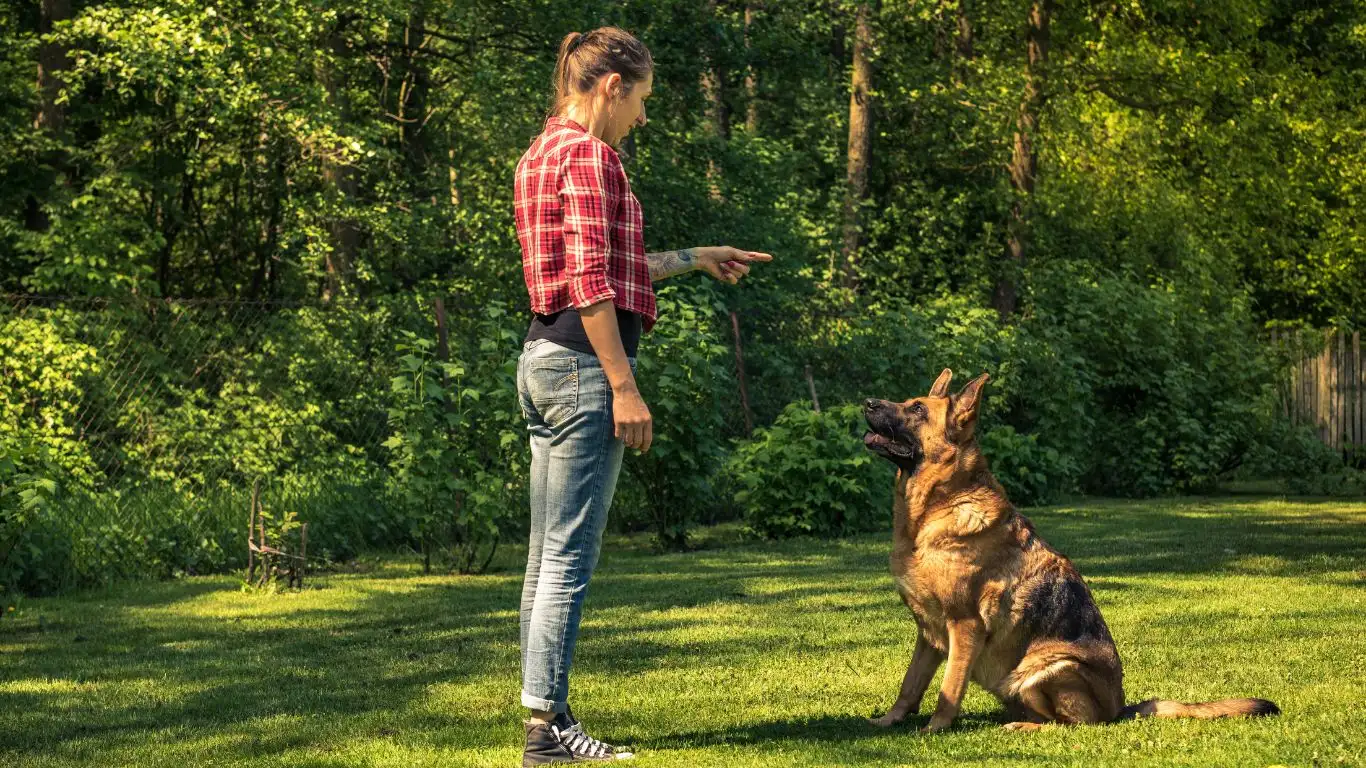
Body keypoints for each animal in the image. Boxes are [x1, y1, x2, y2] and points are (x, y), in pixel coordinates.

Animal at [863, 368, 1278, 727]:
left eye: (917, 409)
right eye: (906, 402)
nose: (866, 402)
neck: (933, 510)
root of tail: (1119, 709)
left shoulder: (964, 626)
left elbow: (948, 688)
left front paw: (934, 729)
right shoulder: (929, 634)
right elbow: (910, 684)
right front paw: (888, 722)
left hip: (1048, 668)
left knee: (1072, 724)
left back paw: (1024, 727)